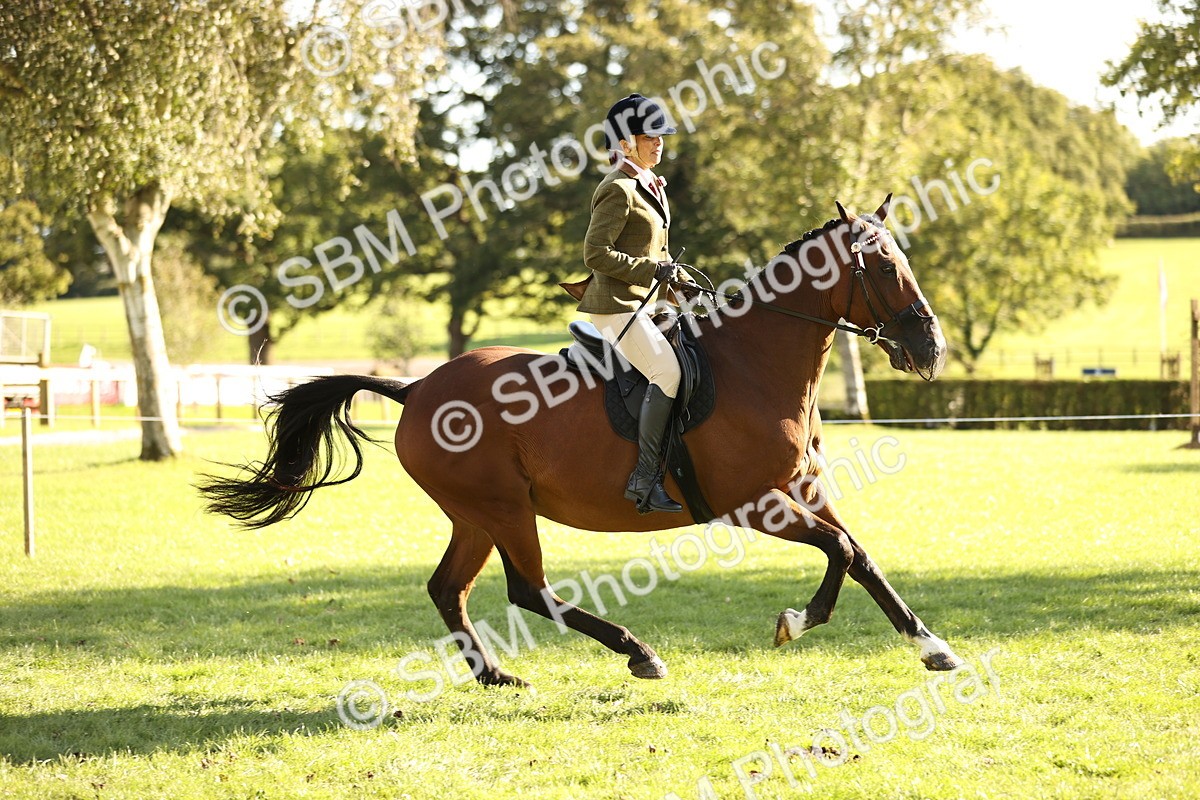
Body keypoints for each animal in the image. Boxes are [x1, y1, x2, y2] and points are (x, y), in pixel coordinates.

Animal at [199, 195, 964, 689]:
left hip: (475, 514)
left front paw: (932, 647)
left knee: (450, 588)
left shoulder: (800, 489)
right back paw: (638, 653)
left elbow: (860, 555)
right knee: (528, 589)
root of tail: (416, 391)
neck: (756, 362)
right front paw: (795, 621)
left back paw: (496, 675)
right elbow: (840, 552)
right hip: (504, 509)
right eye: (886, 267)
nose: (931, 349)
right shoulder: (753, 503)